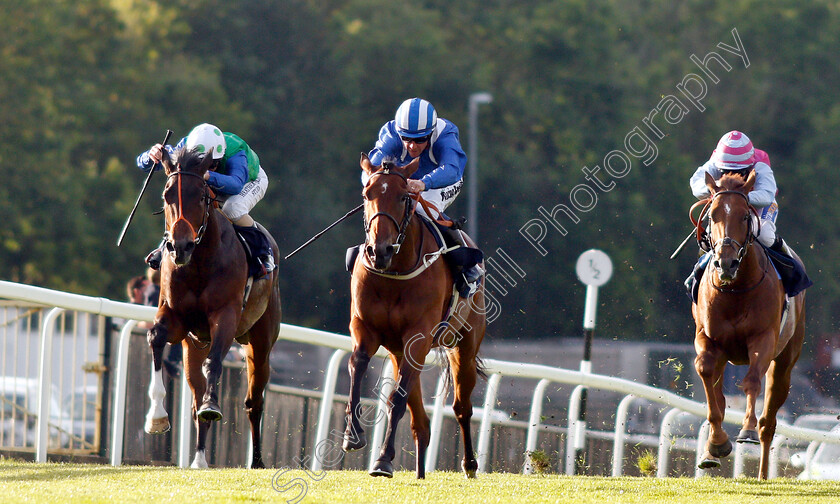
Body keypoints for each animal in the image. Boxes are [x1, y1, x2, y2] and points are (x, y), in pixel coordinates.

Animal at [139, 146, 280, 468]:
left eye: (202, 197)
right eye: (167, 195)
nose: (180, 247)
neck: (199, 263)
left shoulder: (225, 315)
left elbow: (214, 362)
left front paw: (212, 405)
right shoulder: (176, 317)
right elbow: (155, 337)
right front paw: (156, 416)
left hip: (260, 342)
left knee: (254, 401)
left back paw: (257, 462)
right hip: (193, 346)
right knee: (195, 393)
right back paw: (200, 460)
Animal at [340, 155, 486, 480]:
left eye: (404, 196)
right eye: (366, 194)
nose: (378, 250)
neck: (394, 272)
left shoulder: (418, 337)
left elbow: (397, 397)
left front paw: (383, 460)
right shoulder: (364, 327)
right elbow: (357, 366)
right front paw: (352, 435)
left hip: (464, 344)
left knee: (462, 406)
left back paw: (470, 464)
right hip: (399, 351)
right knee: (420, 421)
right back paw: (420, 471)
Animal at [688, 169, 808, 476]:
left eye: (744, 216)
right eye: (712, 215)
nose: (726, 263)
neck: (735, 289)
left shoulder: (763, 338)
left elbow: (752, 380)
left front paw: (747, 431)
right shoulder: (707, 338)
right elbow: (706, 375)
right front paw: (717, 443)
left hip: (786, 360)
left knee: (769, 421)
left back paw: (763, 473)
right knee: (717, 391)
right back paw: (711, 451)